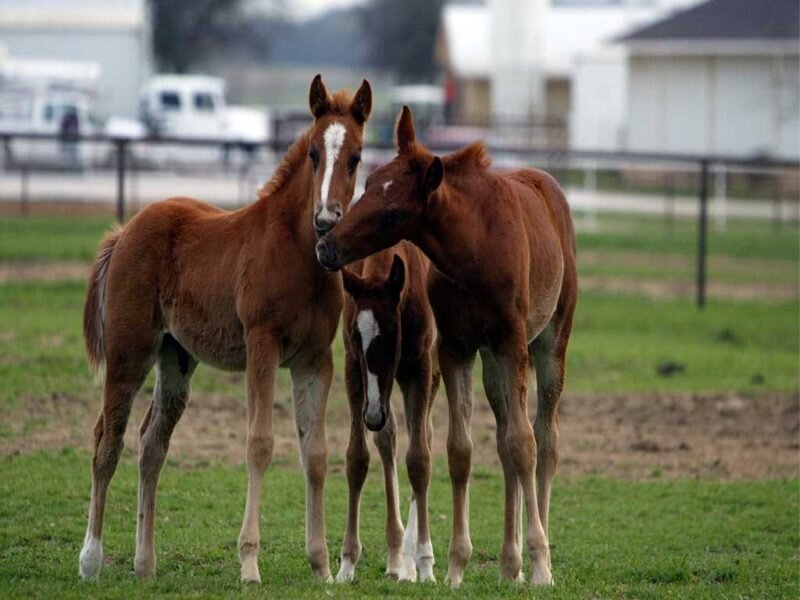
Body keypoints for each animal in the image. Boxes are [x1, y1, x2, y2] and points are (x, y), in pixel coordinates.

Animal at [78, 76, 372, 584]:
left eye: (354, 156)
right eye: (314, 153)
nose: (326, 220)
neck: (298, 253)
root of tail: (126, 230)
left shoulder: (316, 359)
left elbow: (315, 452)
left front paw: (321, 565)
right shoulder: (262, 346)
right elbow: (260, 444)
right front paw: (250, 563)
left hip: (176, 358)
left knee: (151, 443)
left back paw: (145, 563)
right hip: (128, 351)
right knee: (107, 441)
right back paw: (91, 559)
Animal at [336, 243, 440, 580]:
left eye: (395, 332)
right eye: (357, 335)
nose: (371, 415)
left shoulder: (420, 367)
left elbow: (419, 460)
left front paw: (426, 564)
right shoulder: (353, 368)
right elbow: (357, 458)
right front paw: (346, 564)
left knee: (424, 437)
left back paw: (409, 562)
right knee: (388, 435)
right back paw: (397, 559)